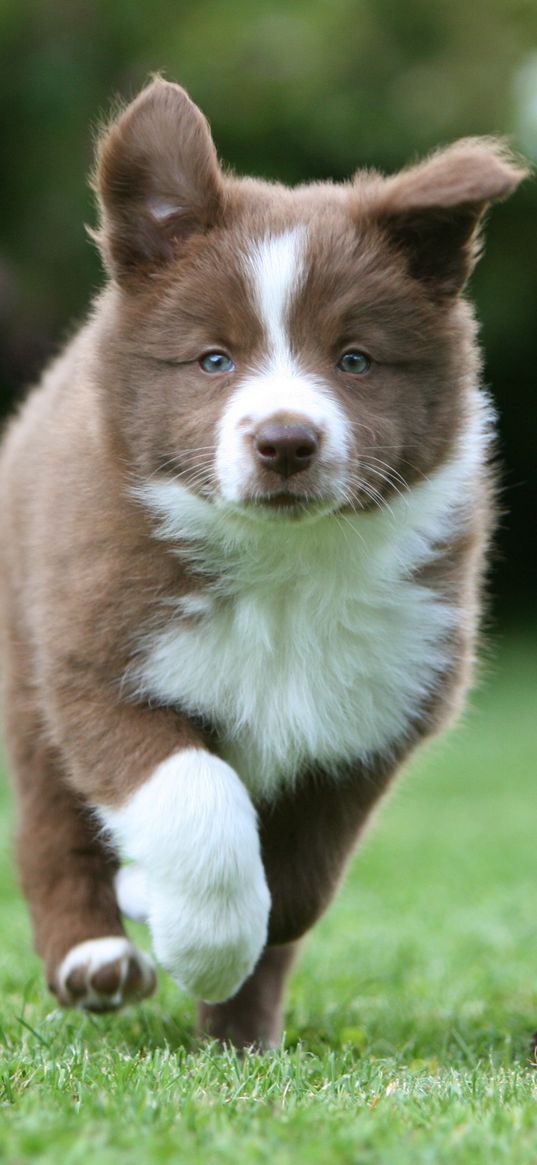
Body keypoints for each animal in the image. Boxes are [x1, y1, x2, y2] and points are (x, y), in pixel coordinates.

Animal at [0, 82, 524, 1048]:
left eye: (355, 359)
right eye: (214, 359)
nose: (285, 440)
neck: (285, 564)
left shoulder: (379, 706)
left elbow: (298, 883)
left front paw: (212, 942)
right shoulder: (100, 652)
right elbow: (195, 796)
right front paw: (201, 936)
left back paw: (241, 1036)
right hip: (26, 647)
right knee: (52, 820)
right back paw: (94, 957)